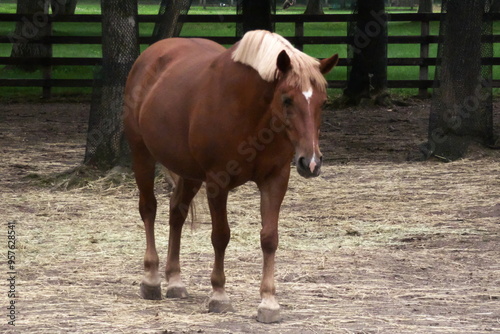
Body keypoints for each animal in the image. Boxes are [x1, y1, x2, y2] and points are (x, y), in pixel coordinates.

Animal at [123, 30, 338, 322]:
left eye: (322, 102)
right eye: (286, 99)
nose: (311, 162)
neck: (251, 114)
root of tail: (149, 58)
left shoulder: (275, 179)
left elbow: (269, 238)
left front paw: (268, 302)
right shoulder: (218, 181)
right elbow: (220, 236)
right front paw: (219, 295)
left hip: (190, 172)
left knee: (177, 212)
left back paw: (175, 280)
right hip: (141, 154)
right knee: (148, 209)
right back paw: (152, 279)